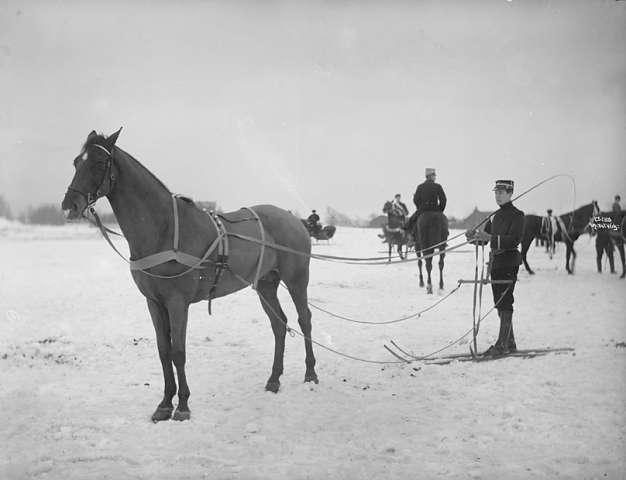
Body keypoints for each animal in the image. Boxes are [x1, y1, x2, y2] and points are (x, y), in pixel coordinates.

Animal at [60, 129, 316, 422]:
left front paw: (182, 405)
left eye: (100, 163)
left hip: (297, 280)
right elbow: (163, 351)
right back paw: (274, 379)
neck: (165, 229)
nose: (69, 206)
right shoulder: (154, 302)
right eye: (77, 162)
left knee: (305, 320)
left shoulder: (177, 302)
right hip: (265, 284)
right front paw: (164, 404)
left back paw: (311, 374)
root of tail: (294, 219)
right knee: (279, 324)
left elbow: (178, 352)